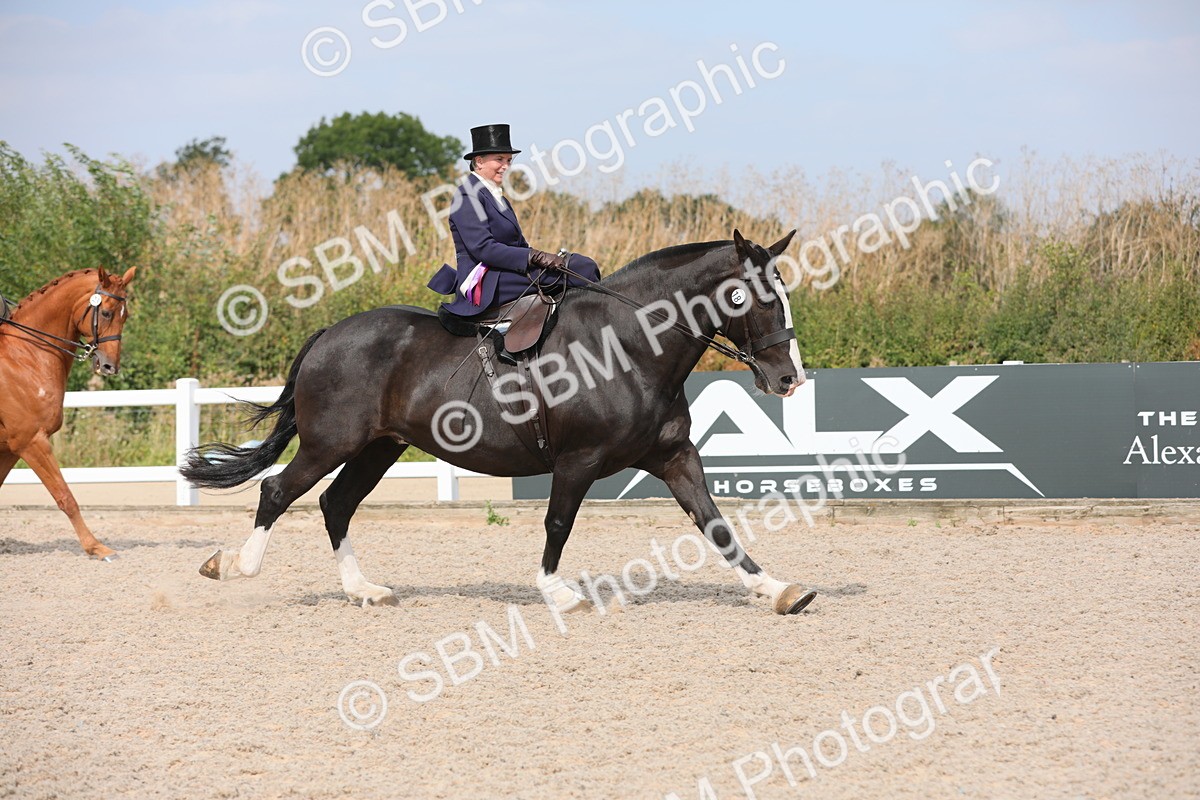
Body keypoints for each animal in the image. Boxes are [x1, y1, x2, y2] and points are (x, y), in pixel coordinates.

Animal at [0, 267, 137, 560]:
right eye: (106, 313)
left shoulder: (10, 448)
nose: (110, 367)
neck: (26, 356)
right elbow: (65, 496)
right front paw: (96, 547)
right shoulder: (32, 441)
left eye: (126, 315)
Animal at [181, 230, 818, 615]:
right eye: (752, 297)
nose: (789, 378)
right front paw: (557, 592)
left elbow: (714, 522)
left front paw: (777, 589)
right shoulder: (578, 460)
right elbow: (558, 523)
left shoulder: (674, 457)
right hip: (330, 443)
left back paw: (364, 589)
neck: (628, 347)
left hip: (378, 448)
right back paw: (235, 566)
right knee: (277, 491)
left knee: (335, 503)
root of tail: (329, 334)